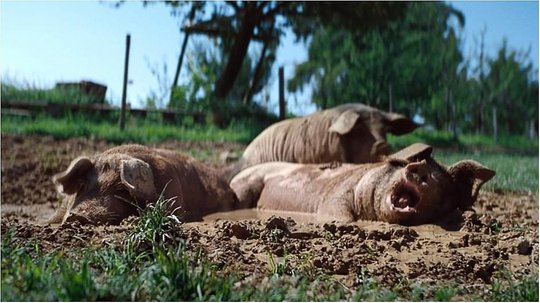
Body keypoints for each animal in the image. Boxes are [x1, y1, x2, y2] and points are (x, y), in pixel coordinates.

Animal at [230, 144, 496, 226]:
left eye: (441, 184)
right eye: (403, 163)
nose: (418, 168)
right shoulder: (337, 194)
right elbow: (339, 215)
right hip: (247, 185)